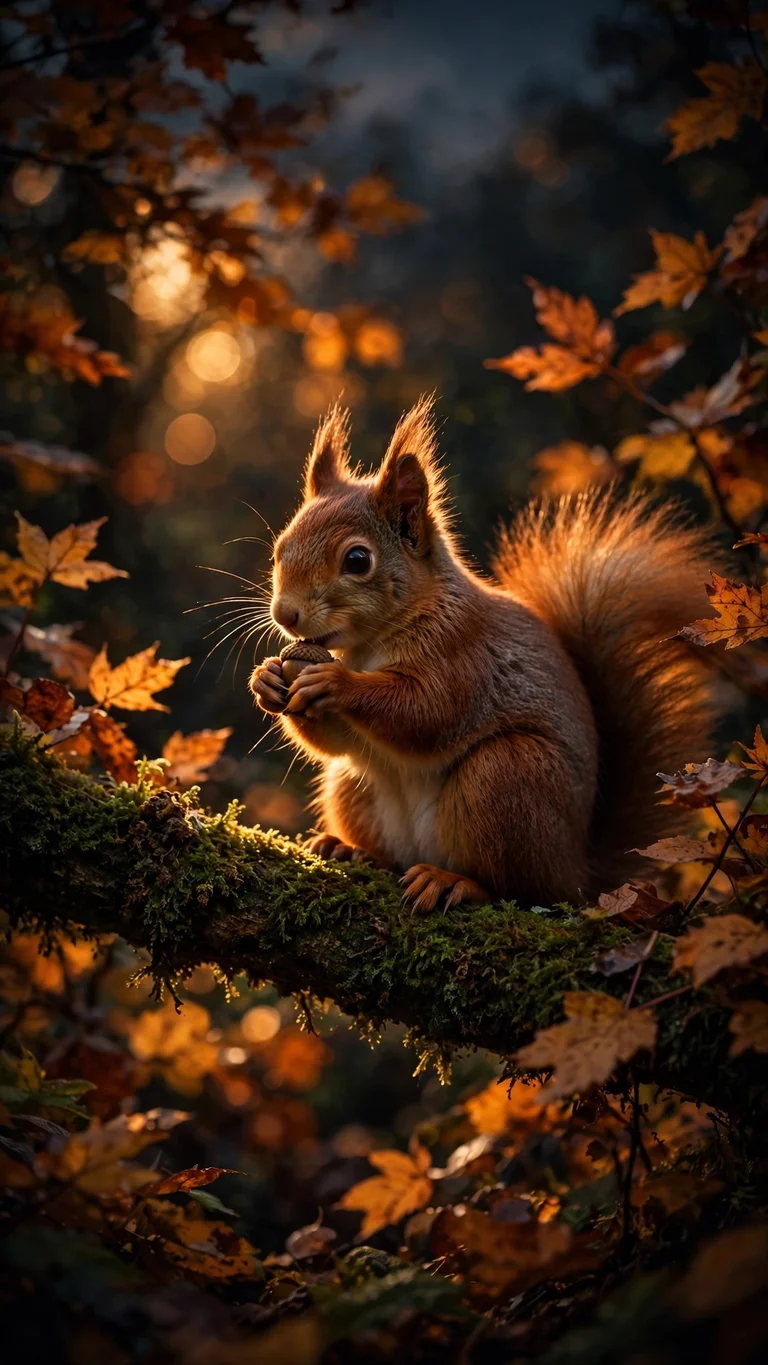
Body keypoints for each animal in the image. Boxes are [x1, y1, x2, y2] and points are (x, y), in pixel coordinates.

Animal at [250, 397, 716, 912]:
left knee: (513, 886)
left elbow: (426, 712)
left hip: (506, 777)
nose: (285, 614)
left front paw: (336, 683)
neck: (366, 645)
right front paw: (267, 679)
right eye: (279, 548)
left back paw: (453, 881)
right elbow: (336, 742)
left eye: (357, 560)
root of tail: (578, 874)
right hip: (353, 785)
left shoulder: (464, 653)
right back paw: (349, 849)